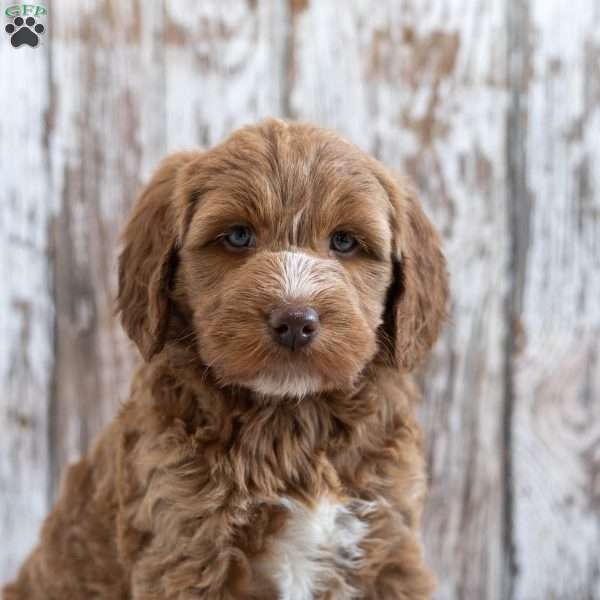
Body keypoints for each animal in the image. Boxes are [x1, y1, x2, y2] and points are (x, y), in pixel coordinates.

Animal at [3, 119, 446, 596]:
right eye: (237, 236)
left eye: (345, 242)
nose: (295, 320)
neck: (291, 419)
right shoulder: (184, 546)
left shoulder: (389, 543)